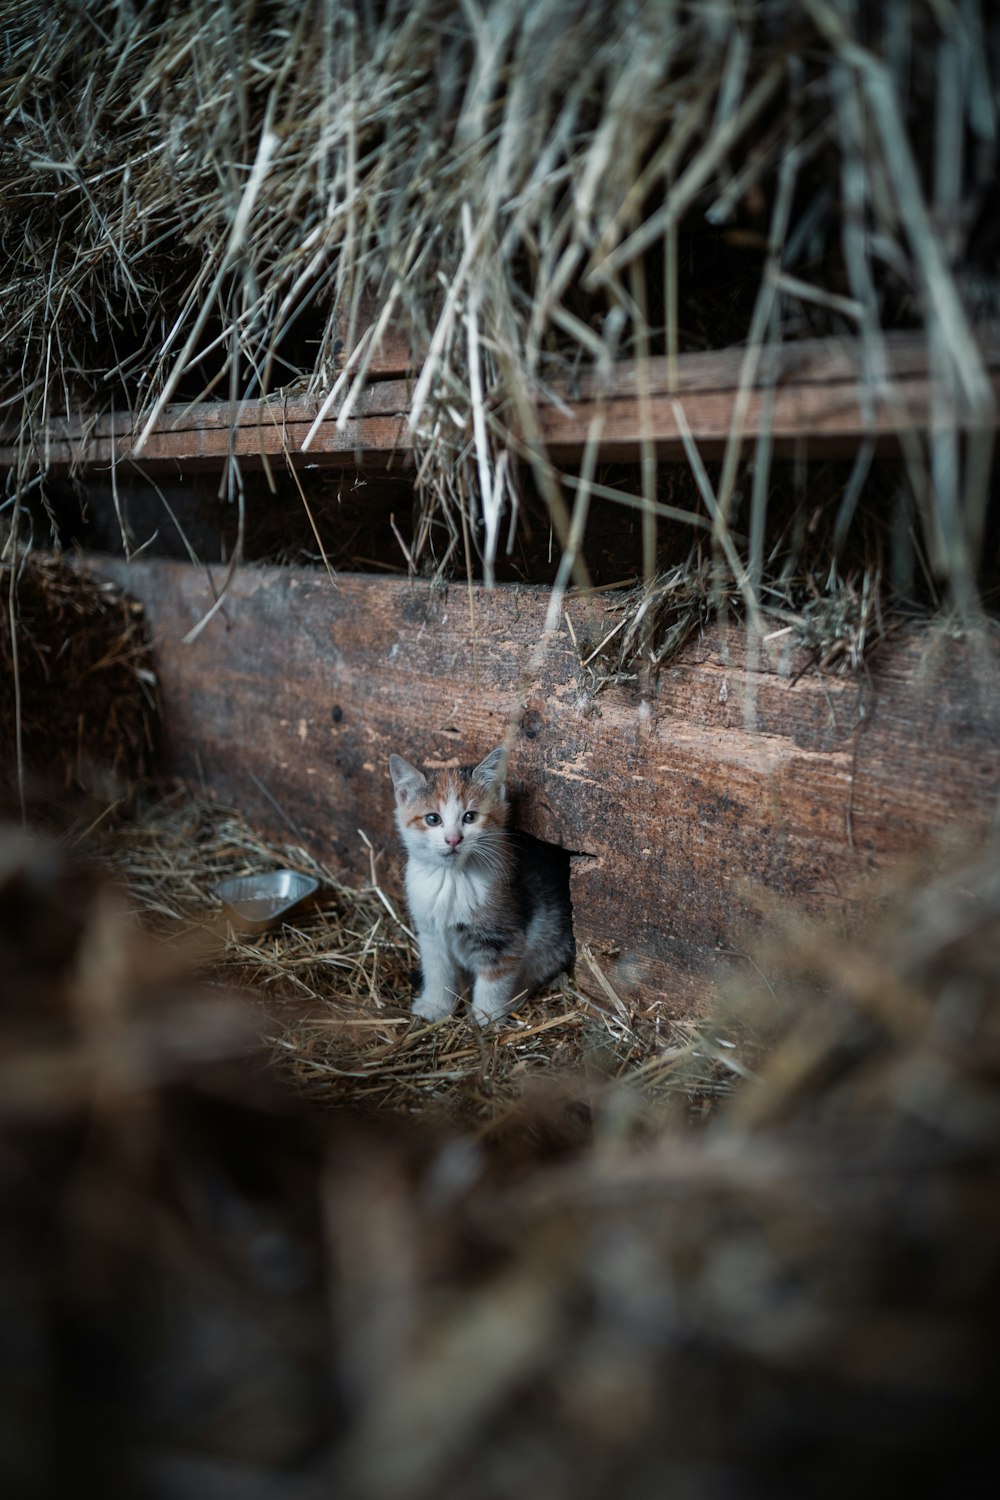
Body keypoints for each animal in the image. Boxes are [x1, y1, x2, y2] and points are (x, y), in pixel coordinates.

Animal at [392, 747, 578, 1026]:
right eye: (432, 819)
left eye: (470, 817)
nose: (453, 839)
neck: (452, 879)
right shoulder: (430, 932)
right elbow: (437, 970)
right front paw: (435, 1005)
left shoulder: (503, 938)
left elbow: (494, 980)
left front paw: (485, 1016)